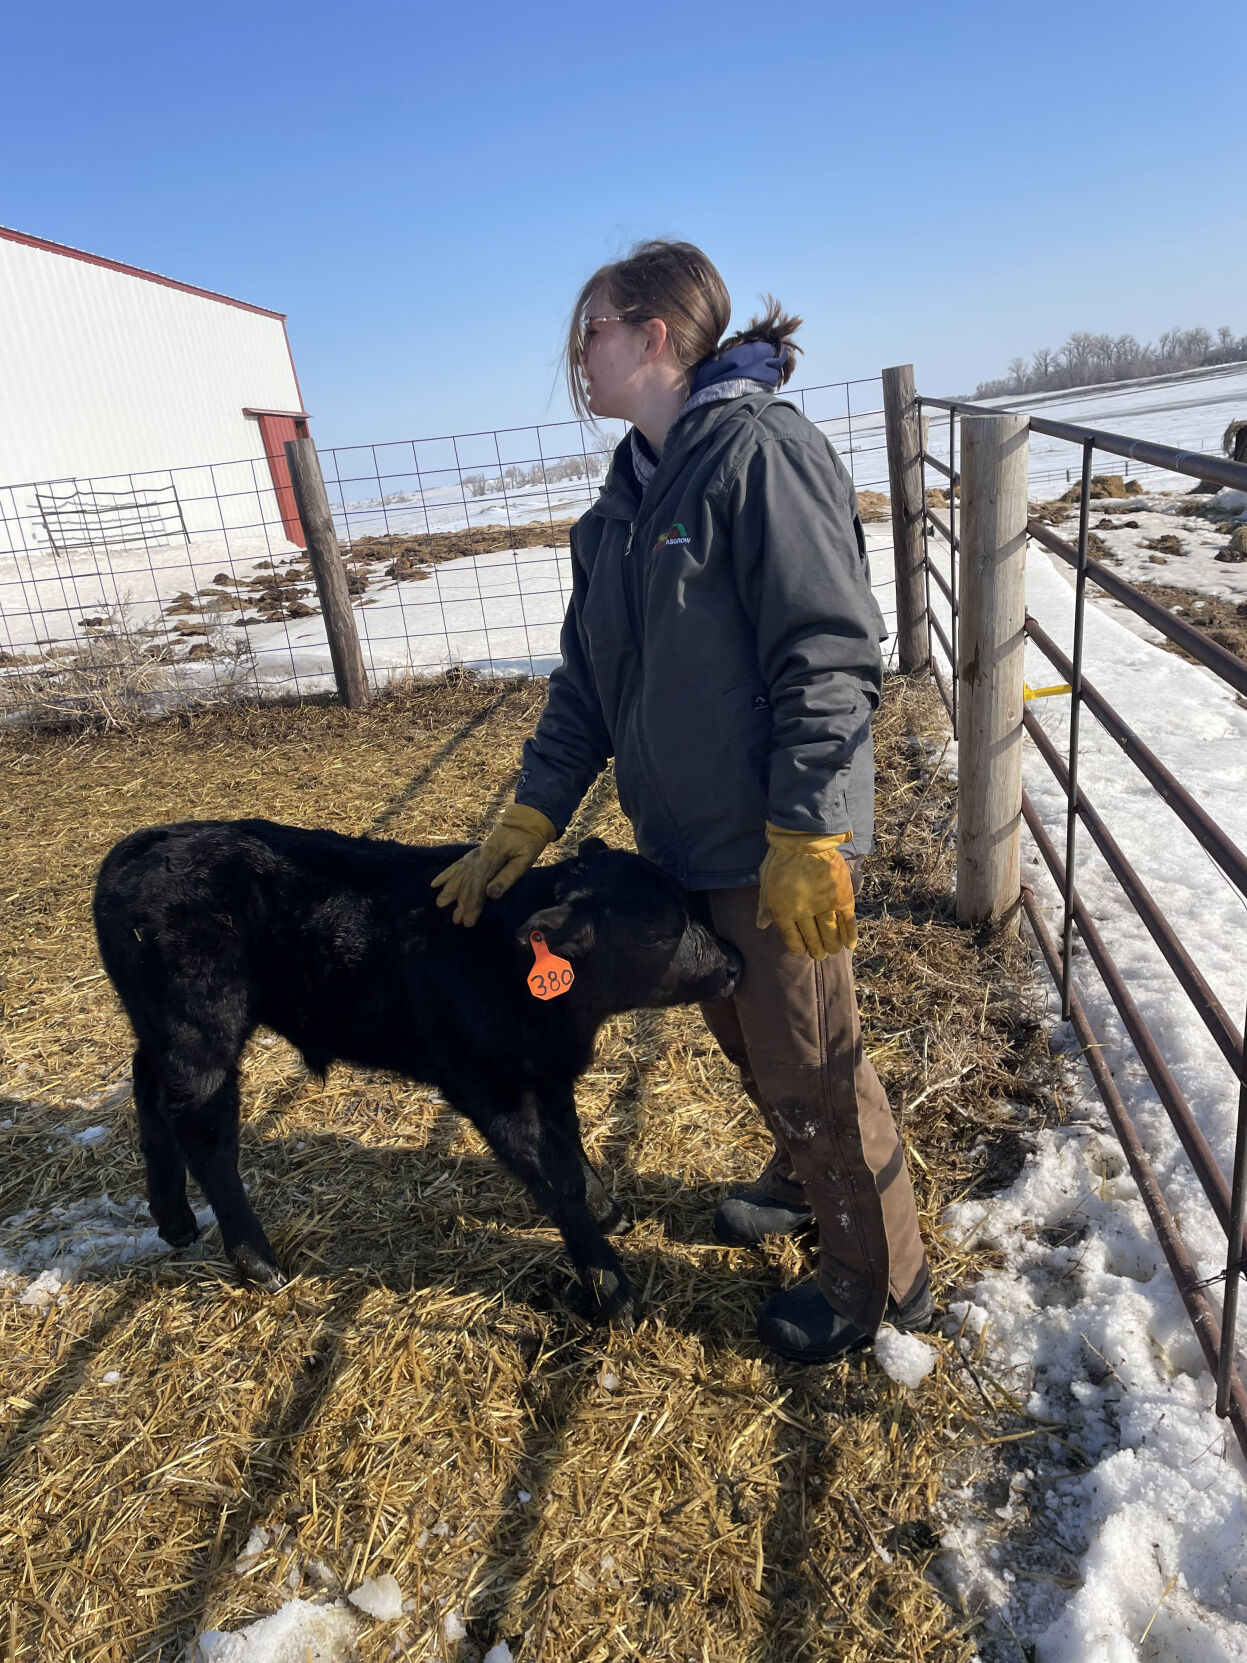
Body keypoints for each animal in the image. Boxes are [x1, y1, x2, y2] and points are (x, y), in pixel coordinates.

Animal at [92, 820, 741, 1324]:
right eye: (659, 931)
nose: (734, 963)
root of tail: (146, 843)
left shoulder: (550, 1076)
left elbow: (572, 1155)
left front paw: (609, 1213)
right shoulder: (492, 1087)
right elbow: (554, 1180)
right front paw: (611, 1288)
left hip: (163, 1030)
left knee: (148, 1085)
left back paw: (173, 1217)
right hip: (200, 1031)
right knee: (207, 1137)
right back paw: (258, 1263)